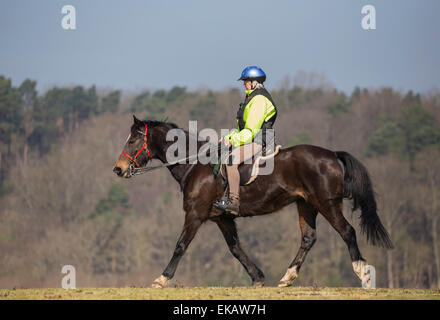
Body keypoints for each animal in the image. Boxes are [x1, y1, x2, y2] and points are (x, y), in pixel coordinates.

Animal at [112, 115, 392, 288]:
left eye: (133, 139)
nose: (118, 169)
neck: (195, 164)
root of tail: (332, 154)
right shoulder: (222, 218)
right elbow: (236, 248)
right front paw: (257, 277)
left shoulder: (195, 214)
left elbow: (180, 246)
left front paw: (161, 279)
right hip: (306, 205)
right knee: (308, 238)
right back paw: (287, 277)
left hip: (327, 203)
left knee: (347, 231)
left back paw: (362, 272)